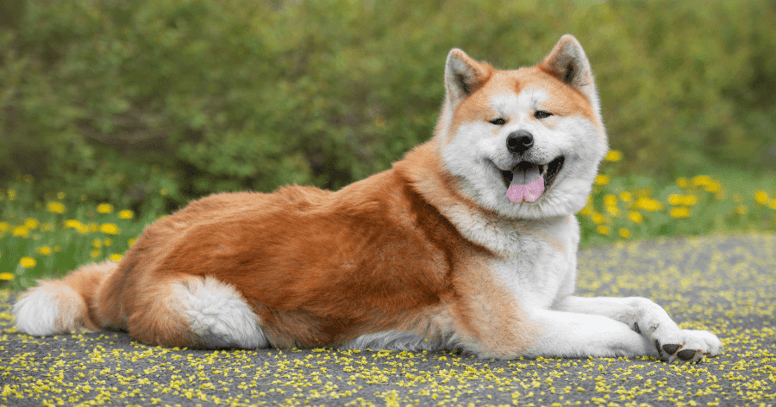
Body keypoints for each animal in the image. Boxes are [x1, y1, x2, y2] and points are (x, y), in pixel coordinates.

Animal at [13, 35, 720, 364]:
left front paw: (681, 334)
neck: (502, 216)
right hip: (226, 316)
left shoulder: (552, 300)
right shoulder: (517, 328)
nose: (519, 141)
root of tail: (129, 260)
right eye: (497, 123)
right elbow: (615, 332)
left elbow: (639, 303)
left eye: (541, 115)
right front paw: (656, 348)